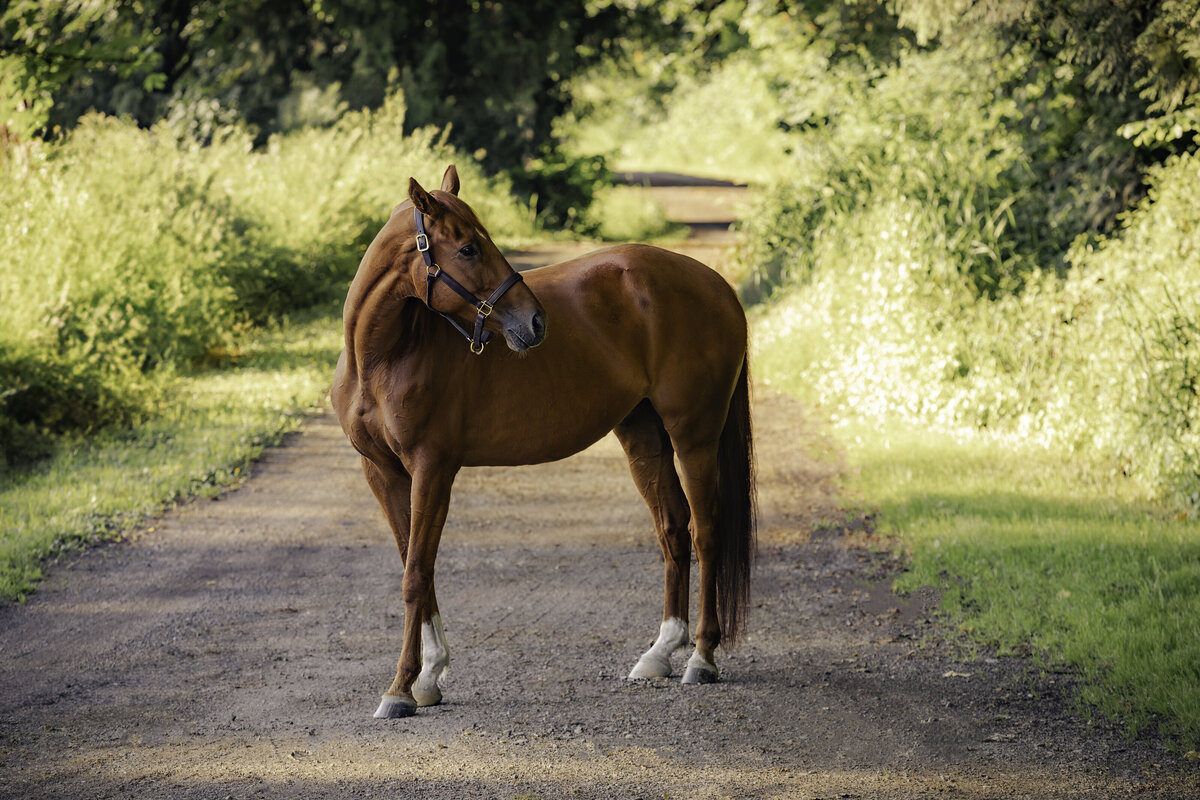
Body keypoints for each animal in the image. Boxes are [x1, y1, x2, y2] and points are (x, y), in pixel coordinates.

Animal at [333, 164, 753, 719]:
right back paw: (660, 653)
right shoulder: (381, 472)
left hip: (694, 435)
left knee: (706, 532)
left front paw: (401, 688)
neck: (385, 358)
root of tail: (716, 284)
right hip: (644, 436)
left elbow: (415, 575)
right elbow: (415, 566)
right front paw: (429, 676)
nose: (534, 322)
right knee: (673, 529)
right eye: (468, 248)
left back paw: (701, 659)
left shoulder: (433, 469)